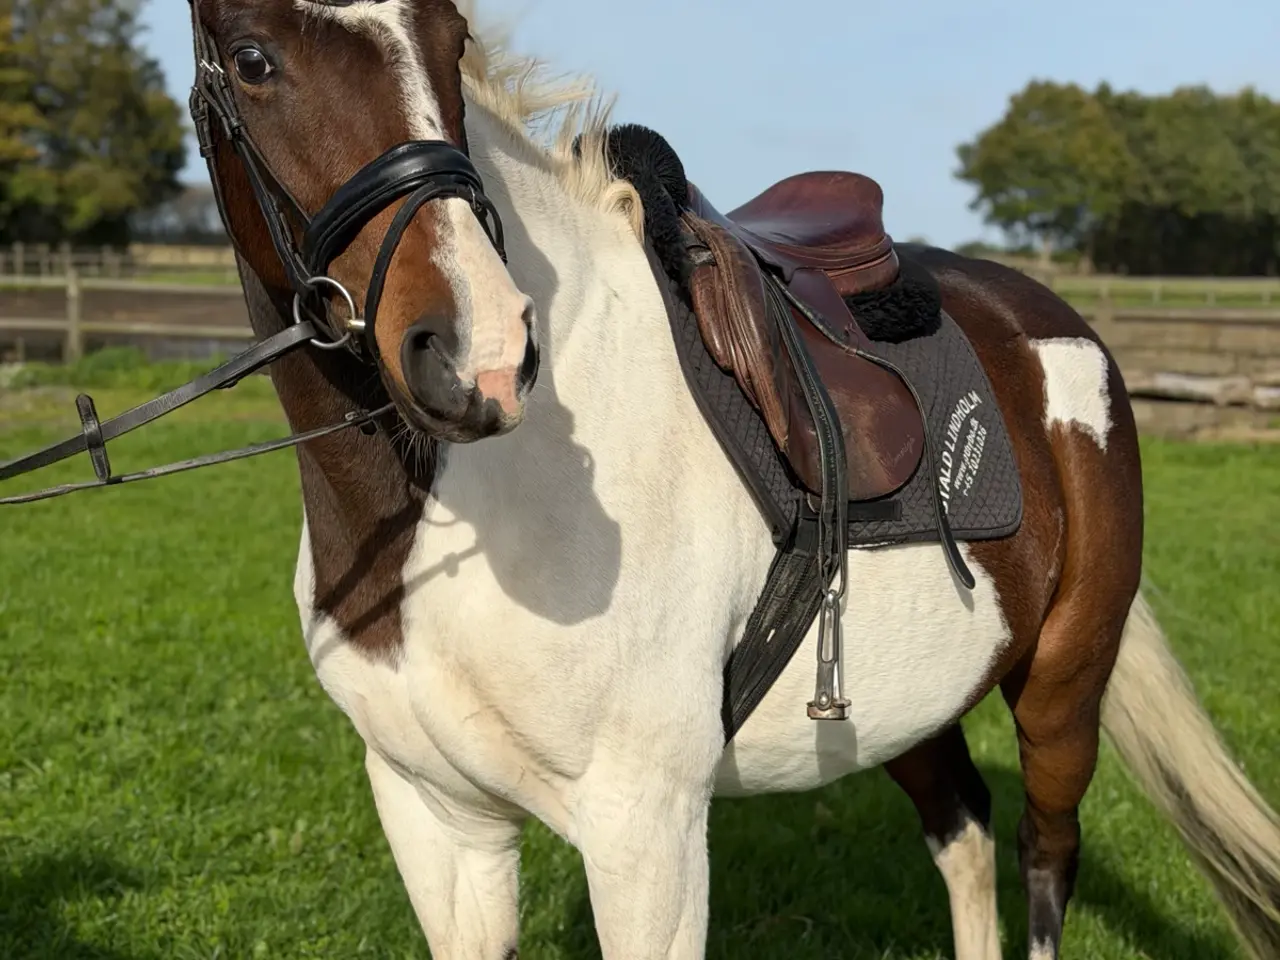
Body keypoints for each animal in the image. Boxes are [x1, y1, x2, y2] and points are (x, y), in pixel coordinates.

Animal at [5, 1, 1277, 957]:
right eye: (255, 60)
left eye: (449, 37)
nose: (478, 351)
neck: (450, 515)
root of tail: (1053, 322)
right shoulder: (438, 816)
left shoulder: (643, 834)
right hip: (906, 703)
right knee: (961, 833)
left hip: (1062, 682)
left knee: (1041, 858)